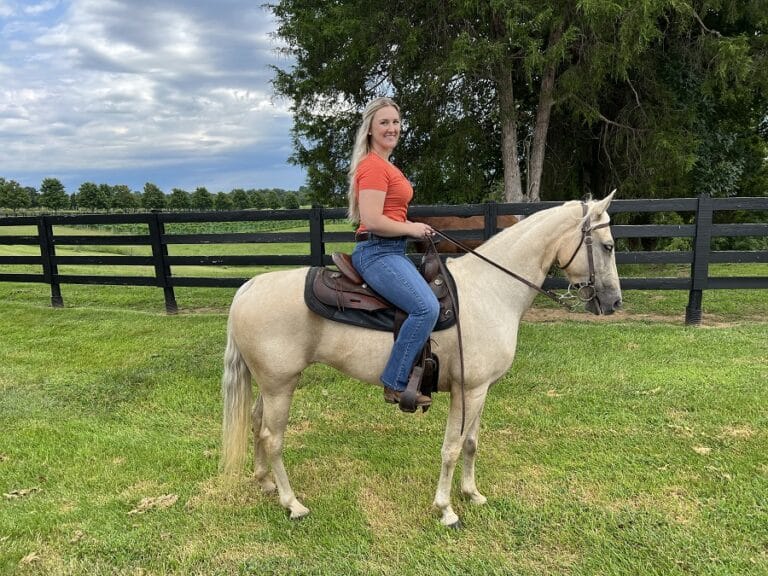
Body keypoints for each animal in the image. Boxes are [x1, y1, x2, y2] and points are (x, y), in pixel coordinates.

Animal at [221, 193, 622, 527]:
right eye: (608, 246)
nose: (614, 302)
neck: (491, 290)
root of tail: (250, 286)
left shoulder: (480, 390)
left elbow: (471, 443)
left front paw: (472, 494)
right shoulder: (467, 390)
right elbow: (452, 448)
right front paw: (446, 509)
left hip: (272, 385)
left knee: (256, 423)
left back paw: (265, 483)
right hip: (280, 386)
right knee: (272, 437)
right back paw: (292, 503)